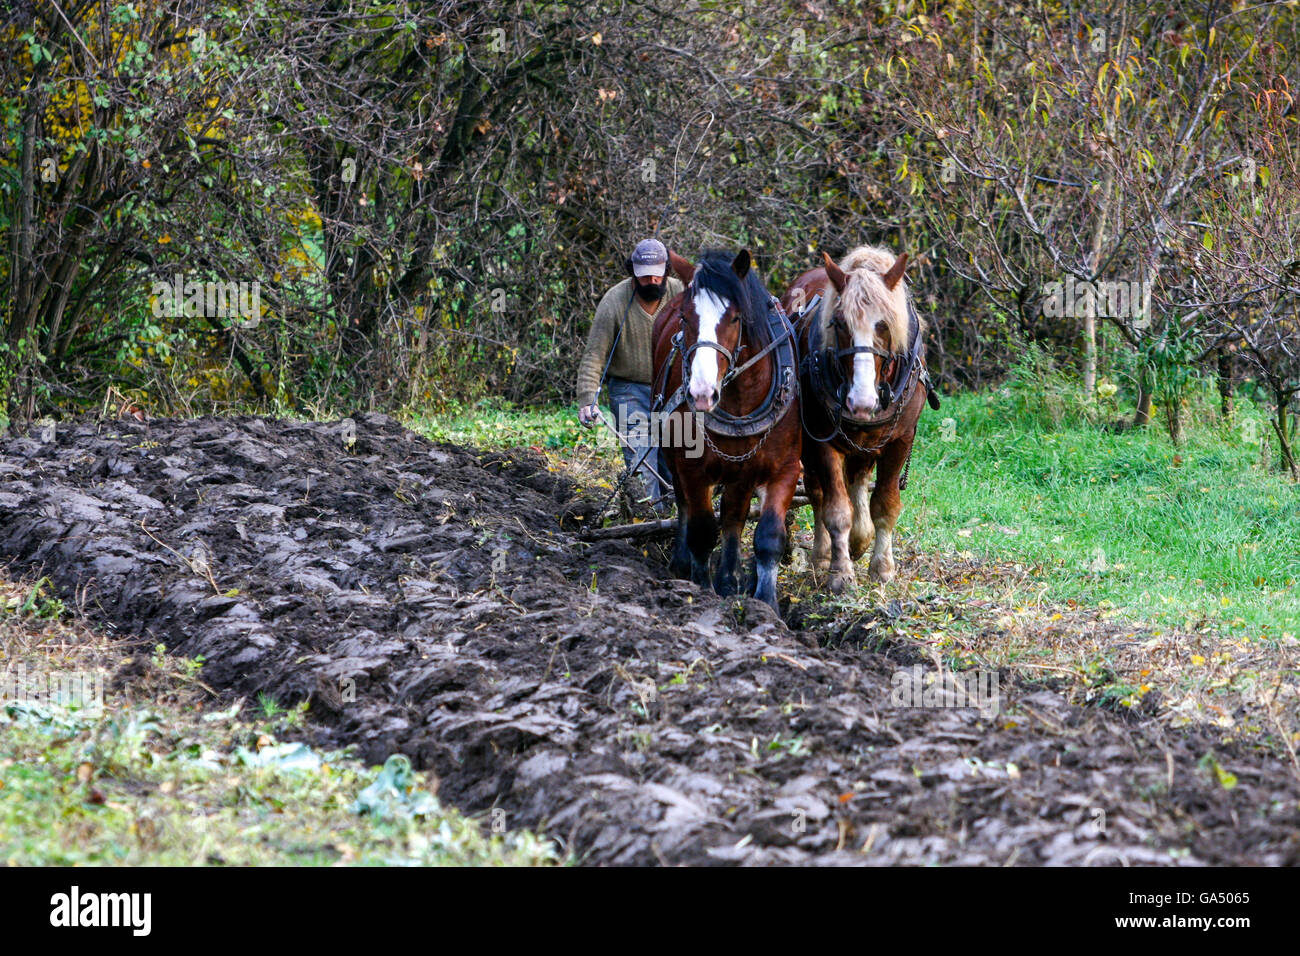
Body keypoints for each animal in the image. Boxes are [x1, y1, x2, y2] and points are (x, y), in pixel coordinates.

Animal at [650, 247, 800, 606]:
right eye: (685, 318)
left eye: (734, 318)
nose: (701, 394)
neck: (740, 402)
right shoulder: (691, 468)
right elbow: (703, 529)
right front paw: (702, 588)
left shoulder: (785, 468)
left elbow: (768, 534)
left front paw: (765, 602)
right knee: (685, 505)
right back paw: (682, 563)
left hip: (742, 472)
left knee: (734, 515)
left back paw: (730, 580)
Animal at [780, 243, 935, 595]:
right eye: (838, 323)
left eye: (885, 324)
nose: (861, 403)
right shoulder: (821, 442)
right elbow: (836, 509)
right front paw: (840, 573)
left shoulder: (900, 440)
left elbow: (885, 504)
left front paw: (882, 568)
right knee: (818, 493)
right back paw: (824, 555)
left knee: (859, 479)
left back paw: (860, 540)